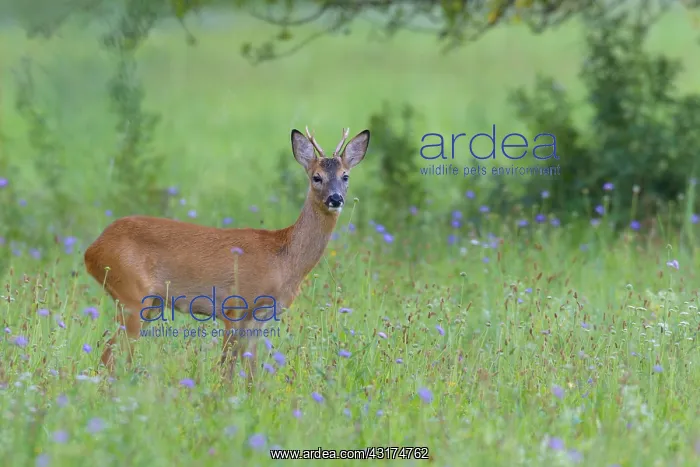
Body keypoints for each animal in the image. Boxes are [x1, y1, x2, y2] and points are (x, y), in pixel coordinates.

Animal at [83, 127, 370, 382]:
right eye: (316, 177)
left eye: (345, 176)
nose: (335, 199)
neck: (284, 259)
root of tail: (92, 249)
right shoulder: (235, 306)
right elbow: (226, 369)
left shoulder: (262, 316)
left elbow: (251, 372)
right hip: (131, 295)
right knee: (111, 356)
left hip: (149, 303)